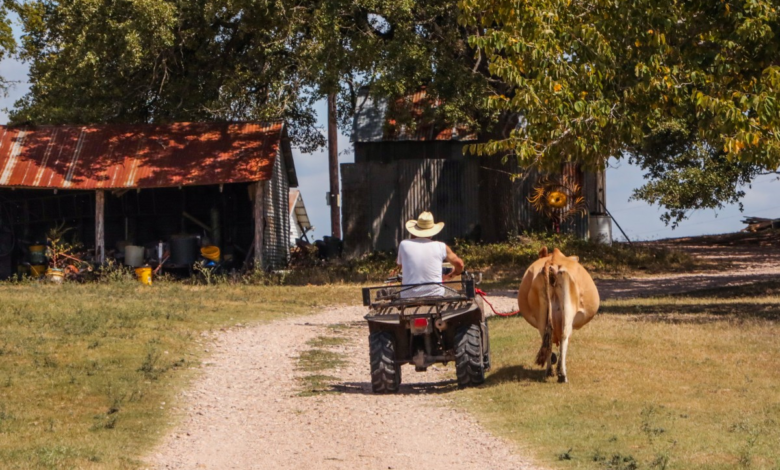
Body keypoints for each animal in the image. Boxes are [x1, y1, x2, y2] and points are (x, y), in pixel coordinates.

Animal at [520, 246, 600, 382]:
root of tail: (552, 262)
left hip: (542, 310)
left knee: (546, 336)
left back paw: (549, 371)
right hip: (568, 307)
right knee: (564, 335)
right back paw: (562, 374)